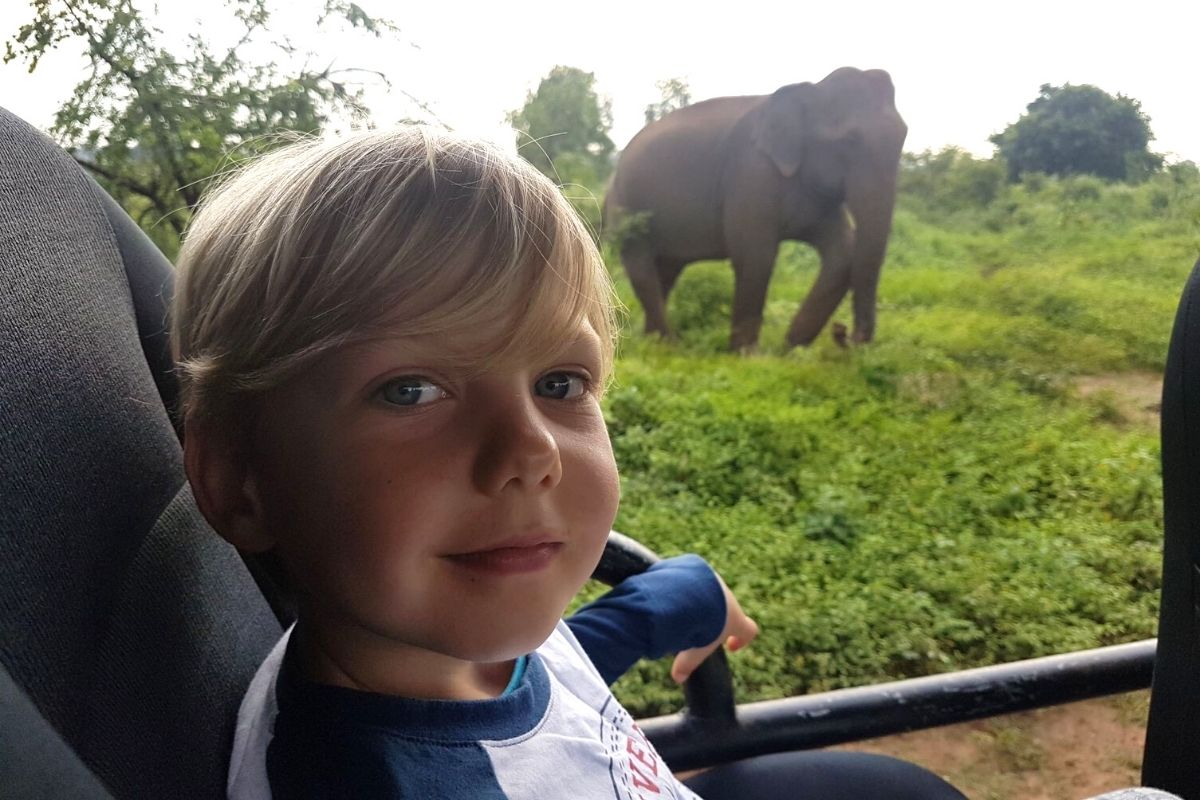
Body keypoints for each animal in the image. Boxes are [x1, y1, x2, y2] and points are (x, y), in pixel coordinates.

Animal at [604, 65, 902, 347]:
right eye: (849, 141)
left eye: (903, 138)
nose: (842, 332)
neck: (809, 89)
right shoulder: (751, 173)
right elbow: (755, 254)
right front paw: (749, 354)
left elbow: (842, 250)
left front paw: (790, 349)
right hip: (624, 207)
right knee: (641, 265)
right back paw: (669, 346)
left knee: (666, 270)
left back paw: (654, 344)